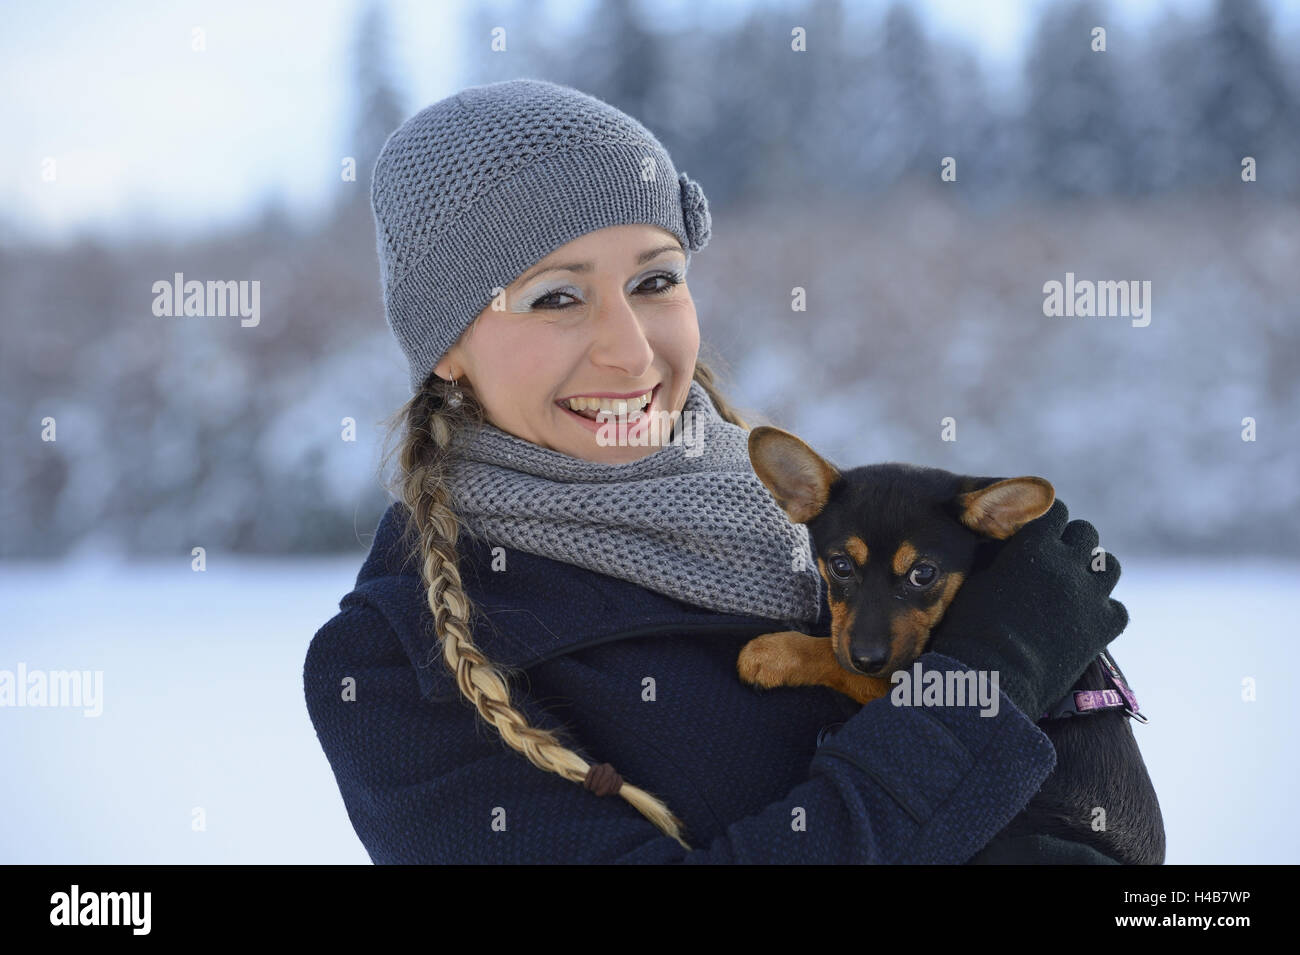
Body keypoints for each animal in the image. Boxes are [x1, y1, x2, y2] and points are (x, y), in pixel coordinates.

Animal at [743, 426, 1170, 867]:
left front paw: (770, 654)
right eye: (840, 566)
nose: (867, 658)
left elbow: (829, 656)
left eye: (924, 574)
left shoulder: (905, 677)